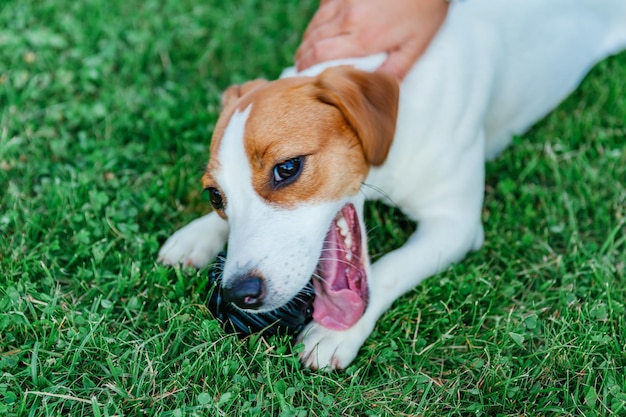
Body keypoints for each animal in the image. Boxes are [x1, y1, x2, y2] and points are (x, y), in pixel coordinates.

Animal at [157, 0, 624, 370]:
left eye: (287, 168)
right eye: (215, 196)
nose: (238, 293)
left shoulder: (453, 225)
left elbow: (390, 269)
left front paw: (337, 334)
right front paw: (197, 234)